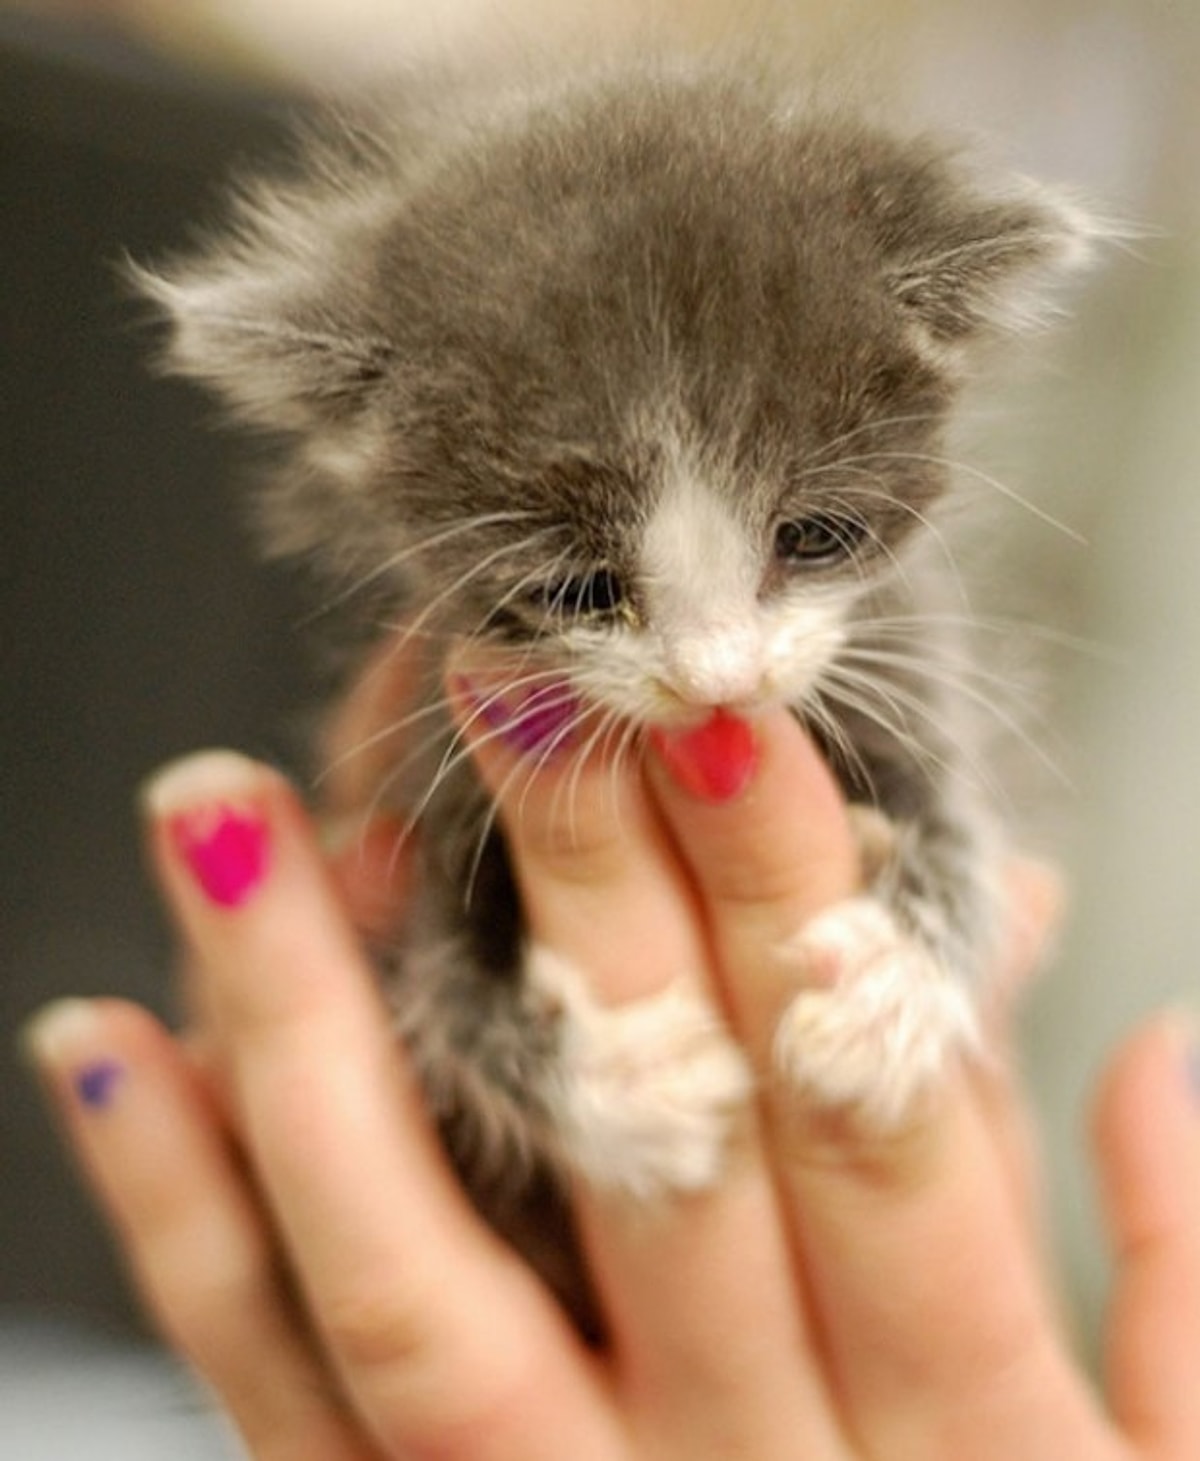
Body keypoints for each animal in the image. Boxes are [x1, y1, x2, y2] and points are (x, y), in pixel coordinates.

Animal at [134, 49, 1096, 1330]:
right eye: (582, 588)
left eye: (815, 535)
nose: (720, 680)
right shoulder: (434, 753)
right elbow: (442, 994)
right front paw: (617, 1092)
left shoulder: (909, 659)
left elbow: (959, 828)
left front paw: (896, 991)